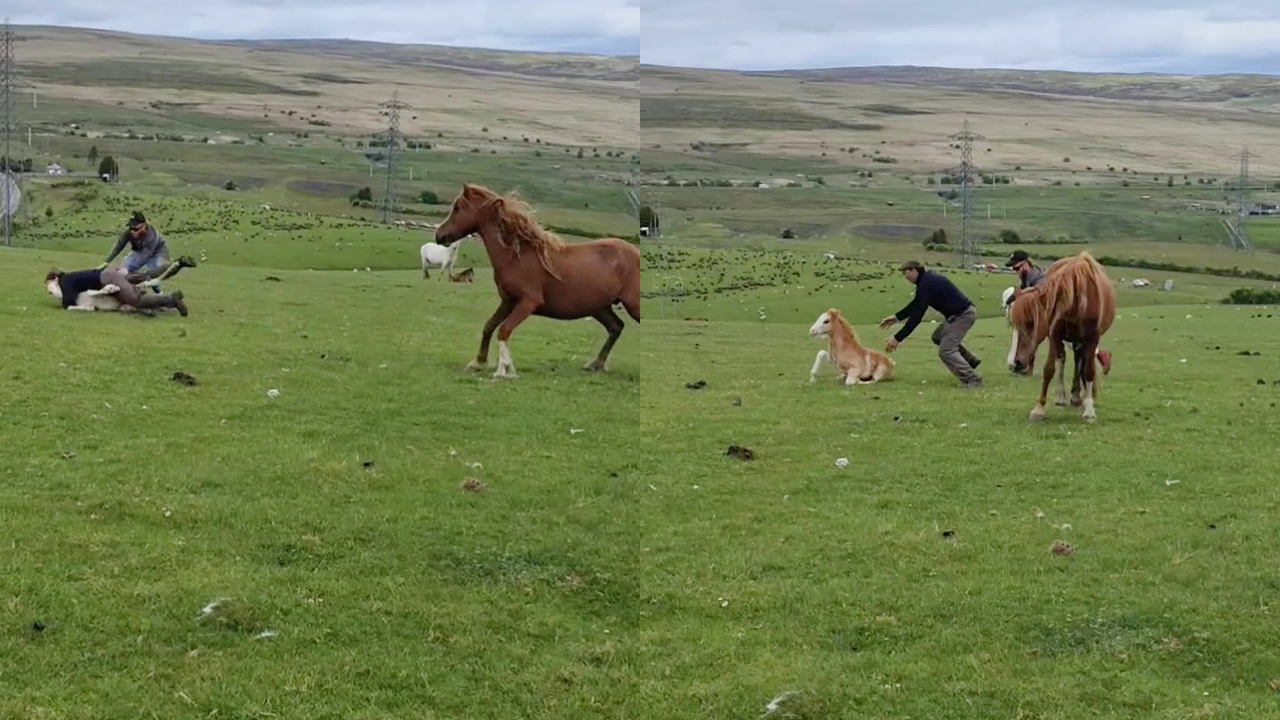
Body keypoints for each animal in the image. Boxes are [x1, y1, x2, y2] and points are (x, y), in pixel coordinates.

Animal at [433, 183, 641, 379]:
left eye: (457, 207)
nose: (439, 235)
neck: (516, 256)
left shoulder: (528, 302)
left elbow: (504, 330)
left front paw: (504, 370)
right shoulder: (508, 301)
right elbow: (489, 327)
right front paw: (478, 362)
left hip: (630, 305)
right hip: (599, 307)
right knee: (616, 327)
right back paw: (594, 365)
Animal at [1008, 251, 1116, 422]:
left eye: (1030, 323)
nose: (1014, 363)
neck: (1077, 297)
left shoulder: (1092, 339)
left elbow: (1088, 371)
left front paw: (1089, 410)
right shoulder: (1054, 334)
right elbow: (1049, 369)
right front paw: (1039, 409)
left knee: (1079, 362)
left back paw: (1078, 396)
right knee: (1062, 359)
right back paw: (1062, 396)